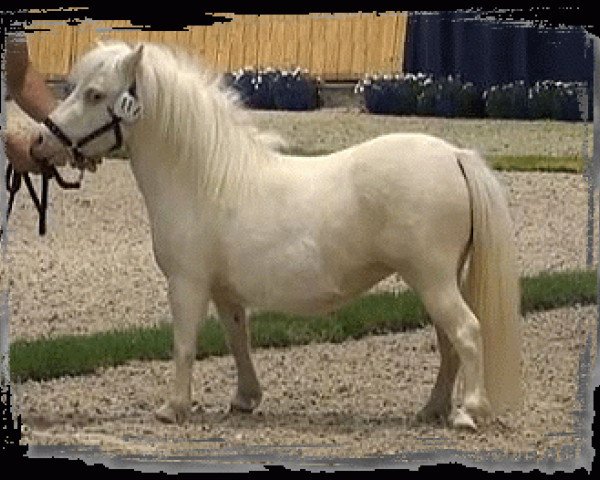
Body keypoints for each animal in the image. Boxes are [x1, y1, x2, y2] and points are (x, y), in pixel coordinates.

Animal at [31, 42, 520, 432]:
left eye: (95, 94)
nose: (39, 143)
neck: (205, 179)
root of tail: (454, 155)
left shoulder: (187, 284)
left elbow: (185, 344)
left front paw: (173, 408)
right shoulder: (224, 292)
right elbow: (237, 340)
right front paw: (245, 399)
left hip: (432, 280)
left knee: (466, 332)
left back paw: (468, 413)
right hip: (436, 282)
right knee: (449, 344)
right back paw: (432, 410)